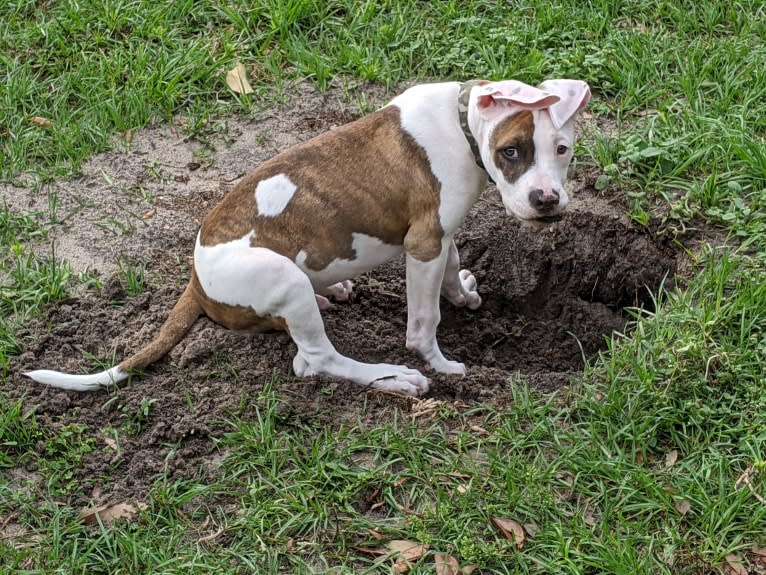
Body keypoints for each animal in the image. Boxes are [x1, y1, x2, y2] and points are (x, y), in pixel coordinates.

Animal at [24, 79, 592, 398]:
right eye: (512, 151)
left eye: (562, 149)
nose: (546, 200)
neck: (461, 123)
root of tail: (195, 282)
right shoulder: (424, 242)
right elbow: (423, 320)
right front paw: (440, 363)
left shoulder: (440, 234)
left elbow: (451, 270)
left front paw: (465, 295)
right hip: (281, 279)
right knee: (314, 361)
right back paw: (396, 378)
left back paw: (333, 291)